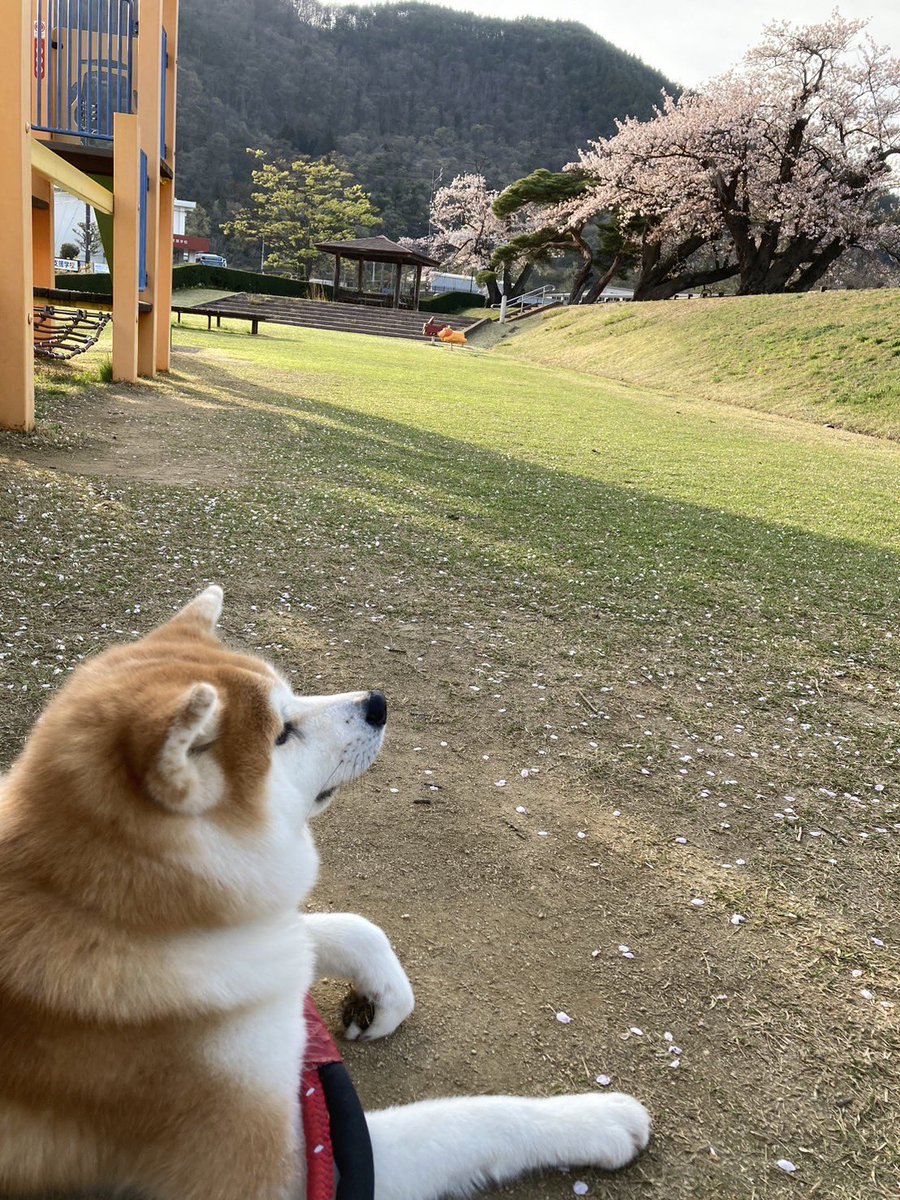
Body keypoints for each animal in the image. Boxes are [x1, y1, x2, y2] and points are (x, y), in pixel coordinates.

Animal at [0, 588, 652, 1200]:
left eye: (289, 701)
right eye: (282, 733)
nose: (378, 702)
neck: (104, 912)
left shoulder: (258, 942)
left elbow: (354, 928)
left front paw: (384, 998)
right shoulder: (290, 1171)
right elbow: (472, 1120)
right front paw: (592, 1118)